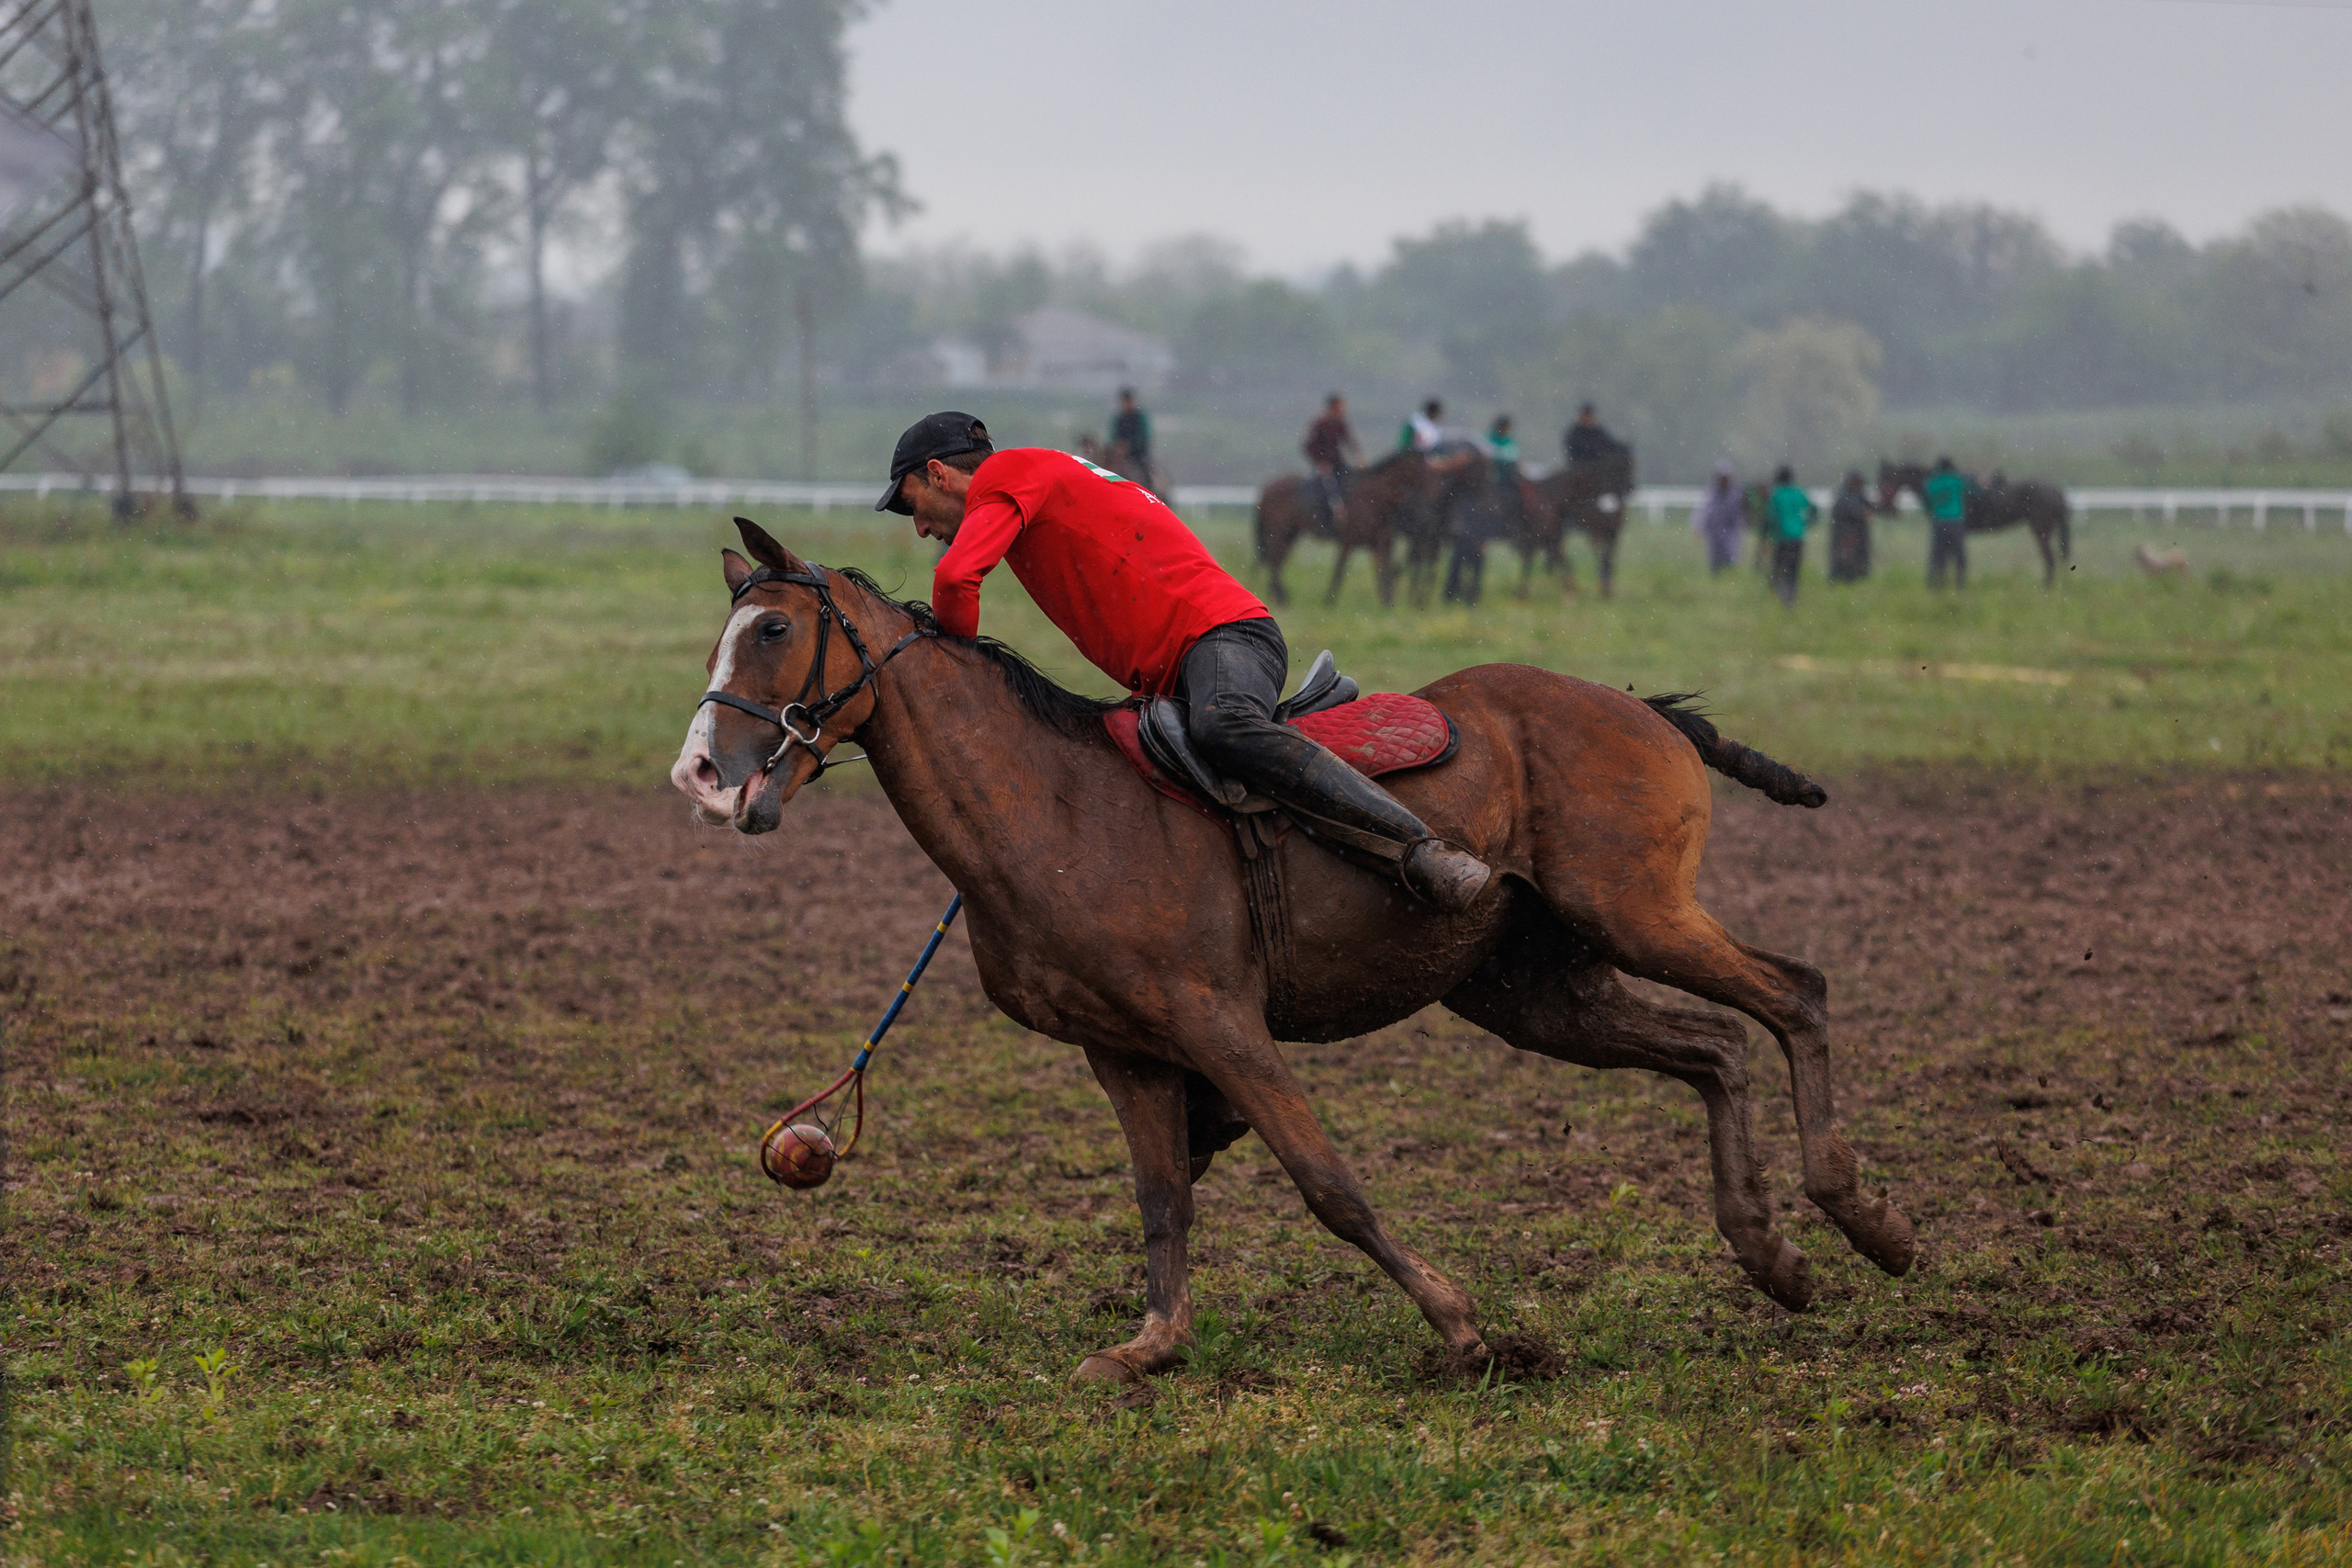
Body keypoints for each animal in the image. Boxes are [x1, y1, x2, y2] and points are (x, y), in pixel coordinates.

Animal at [670, 517, 1917, 1384]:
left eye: (773, 628)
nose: (701, 773)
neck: (1057, 808)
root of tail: (1639, 706)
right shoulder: (1126, 1050)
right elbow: (1165, 1197)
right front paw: (1153, 1344)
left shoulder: (1219, 1022)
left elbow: (1329, 1185)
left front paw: (1463, 1329)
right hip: (1535, 992)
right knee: (1714, 1048)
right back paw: (1772, 1254)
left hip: (1636, 912)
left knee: (1792, 996)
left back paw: (1864, 1217)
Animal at [1254, 450, 1437, 609]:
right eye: (1422, 470)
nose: (1432, 493)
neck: (1374, 498)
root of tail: (1265, 490)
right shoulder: (1348, 542)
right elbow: (1340, 572)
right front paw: (1329, 601)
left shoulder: (1379, 543)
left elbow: (1383, 571)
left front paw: (1387, 603)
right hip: (1278, 533)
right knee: (1274, 561)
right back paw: (1281, 597)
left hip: (1290, 534)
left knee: (1277, 561)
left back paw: (1278, 596)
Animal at [1526, 446, 1637, 598]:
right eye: (1618, 466)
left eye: (1631, 464)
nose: (1631, 486)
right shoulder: (1594, 530)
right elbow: (1601, 554)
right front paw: (1603, 587)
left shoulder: (1613, 532)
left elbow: (1609, 555)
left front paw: (1607, 587)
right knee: (1555, 551)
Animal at [1875, 460, 2073, 586]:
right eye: (1879, 480)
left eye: (1886, 480)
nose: (1884, 508)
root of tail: (2057, 491)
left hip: (2041, 530)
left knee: (2050, 560)